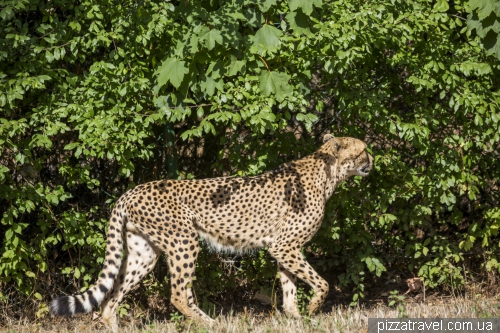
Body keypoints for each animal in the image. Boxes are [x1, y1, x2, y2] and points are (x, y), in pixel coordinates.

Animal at [50, 135, 374, 330]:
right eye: (363, 150)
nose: (373, 160)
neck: (327, 171)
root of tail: (131, 191)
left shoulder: (284, 248)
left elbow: (289, 286)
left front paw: (295, 318)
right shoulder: (285, 246)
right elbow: (322, 283)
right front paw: (313, 308)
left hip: (144, 252)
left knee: (111, 297)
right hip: (185, 241)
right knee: (179, 295)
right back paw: (212, 324)